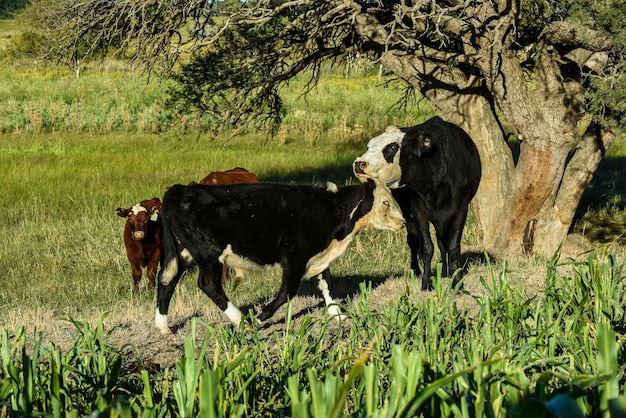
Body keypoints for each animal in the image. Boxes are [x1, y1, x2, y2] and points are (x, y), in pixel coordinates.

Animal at [154, 179, 402, 334]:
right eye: (385, 202)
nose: (402, 223)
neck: (329, 210)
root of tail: (181, 189)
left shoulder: (320, 255)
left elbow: (327, 284)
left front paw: (337, 314)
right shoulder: (296, 258)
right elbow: (287, 292)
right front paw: (259, 318)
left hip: (183, 252)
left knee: (167, 280)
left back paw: (164, 327)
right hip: (207, 254)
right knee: (208, 285)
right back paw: (241, 320)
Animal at [354, 116, 480, 290]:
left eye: (393, 146)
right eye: (368, 146)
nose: (359, 163)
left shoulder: (460, 210)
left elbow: (453, 247)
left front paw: (457, 281)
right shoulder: (418, 211)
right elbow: (426, 248)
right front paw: (426, 283)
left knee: (442, 242)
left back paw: (446, 272)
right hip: (408, 213)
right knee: (414, 241)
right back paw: (417, 271)